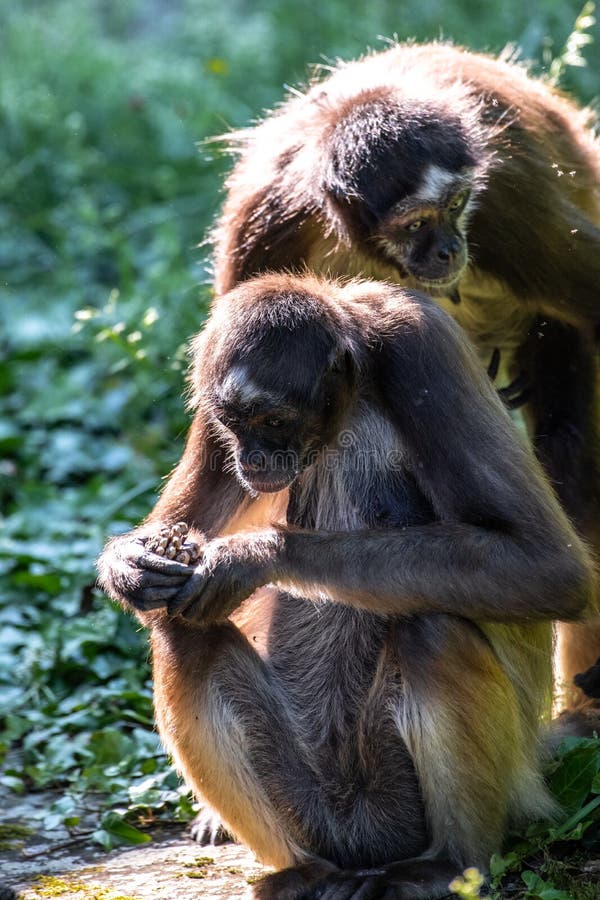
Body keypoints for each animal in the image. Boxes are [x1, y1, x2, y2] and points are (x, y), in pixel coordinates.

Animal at [98, 274, 596, 900]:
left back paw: (448, 865)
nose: (252, 458)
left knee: (433, 629)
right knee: (181, 629)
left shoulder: (418, 344)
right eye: (233, 423)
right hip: (309, 806)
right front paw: (132, 566)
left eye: (275, 423)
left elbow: (548, 567)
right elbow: (168, 563)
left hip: (418, 796)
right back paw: (309, 871)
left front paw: (246, 559)